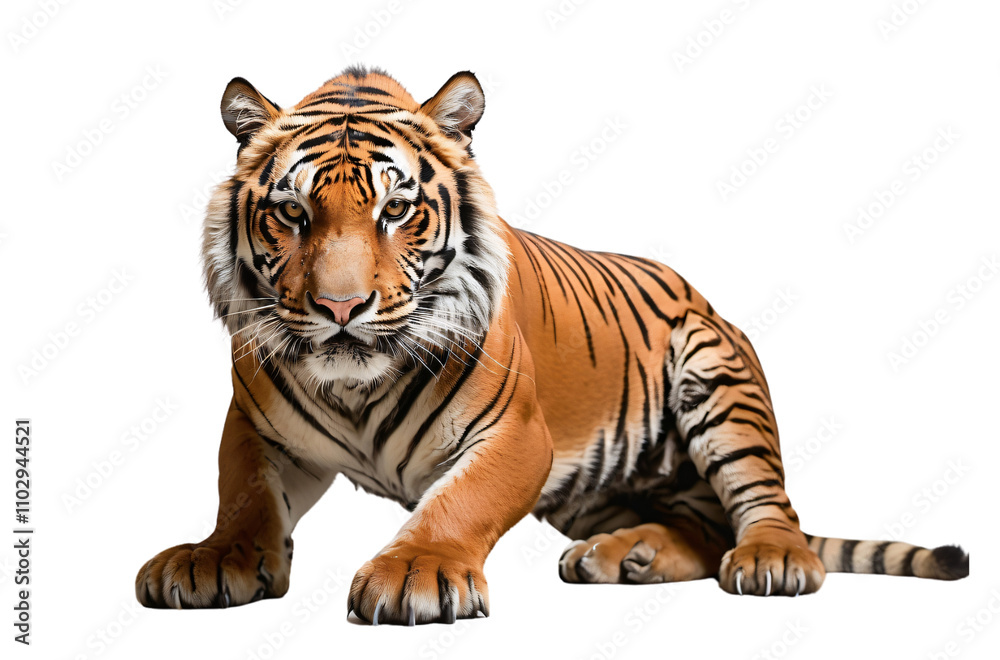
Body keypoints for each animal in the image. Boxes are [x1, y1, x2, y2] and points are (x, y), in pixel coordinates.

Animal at [135, 66, 969, 624]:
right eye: (292, 214)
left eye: (396, 210)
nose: (341, 307)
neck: (356, 384)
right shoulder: (256, 428)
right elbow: (243, 497)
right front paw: (213, 557)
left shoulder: (516, 435)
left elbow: (458, 502)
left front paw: (415, 572)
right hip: (601, 487)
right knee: (704, 526)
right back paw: (627, 555)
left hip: (717, 380)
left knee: (768, 507)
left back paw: (770, 560)